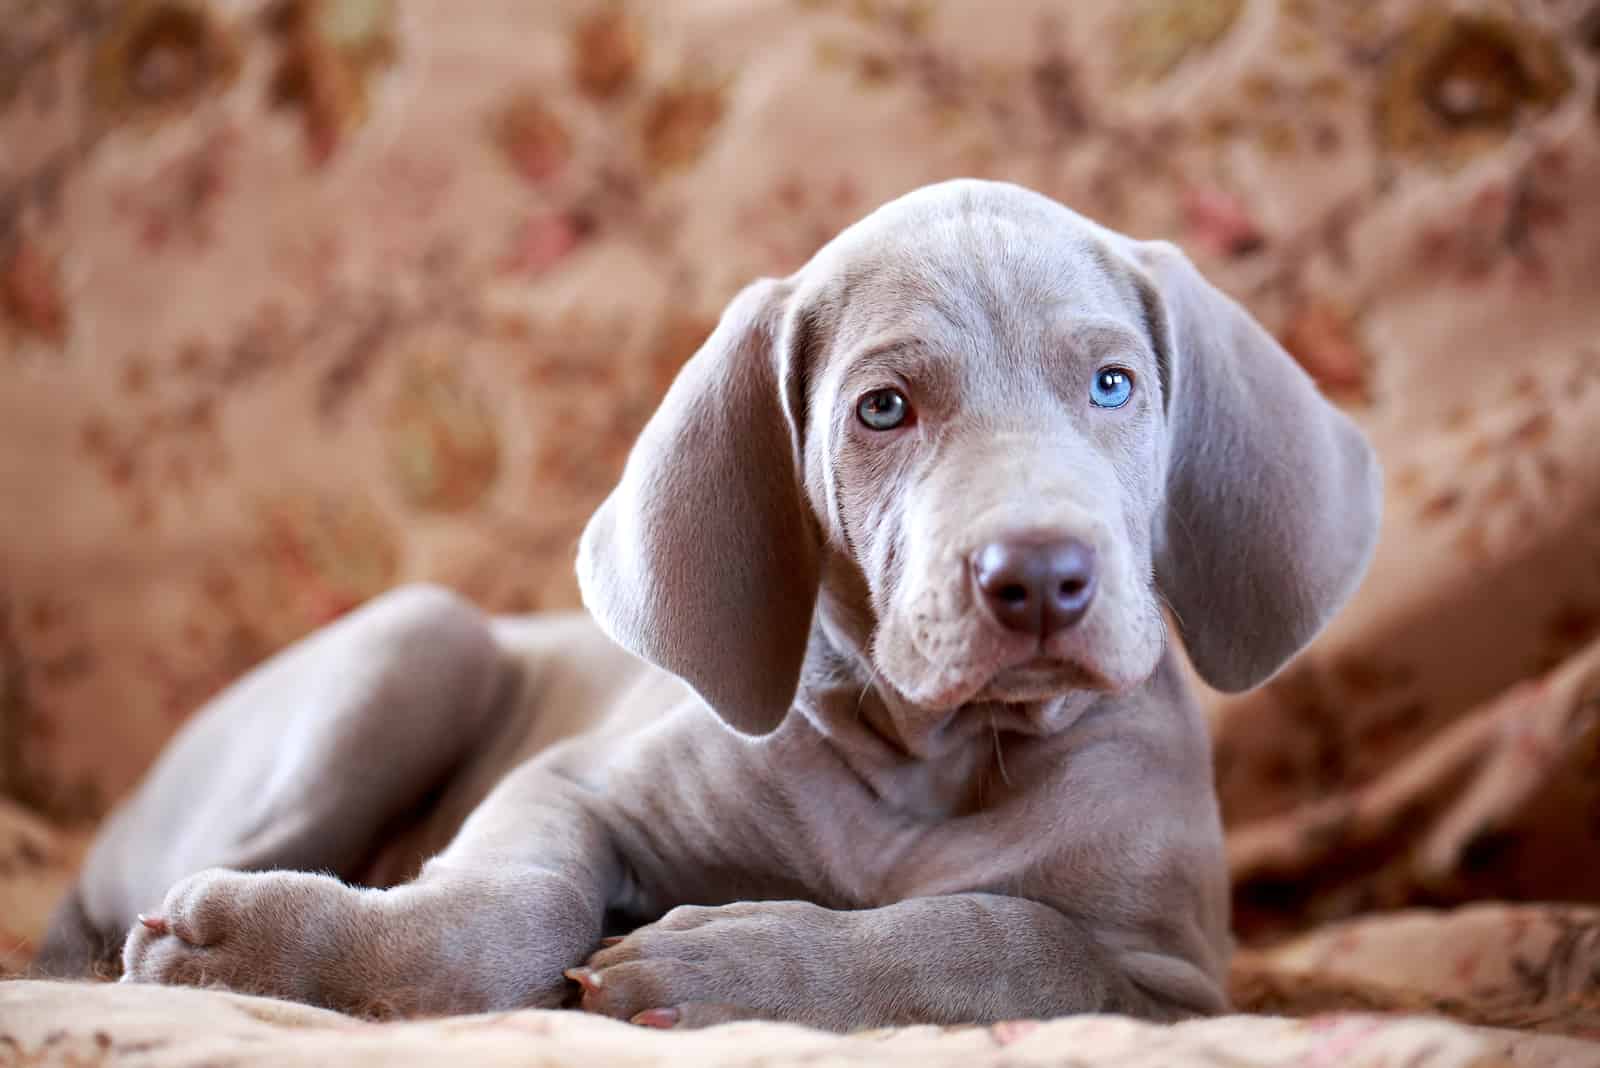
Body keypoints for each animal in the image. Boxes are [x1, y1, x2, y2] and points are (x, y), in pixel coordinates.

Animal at [40, 179, 1388, 1029]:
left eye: (1113, 384)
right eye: (882, 409)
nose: (1041, 579)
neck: (940, 763)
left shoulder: (1172, 975)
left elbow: (1018, 942)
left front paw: (741, 960)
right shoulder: (569, 784)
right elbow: (509, 906)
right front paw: (270, 952)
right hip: (418, 640)